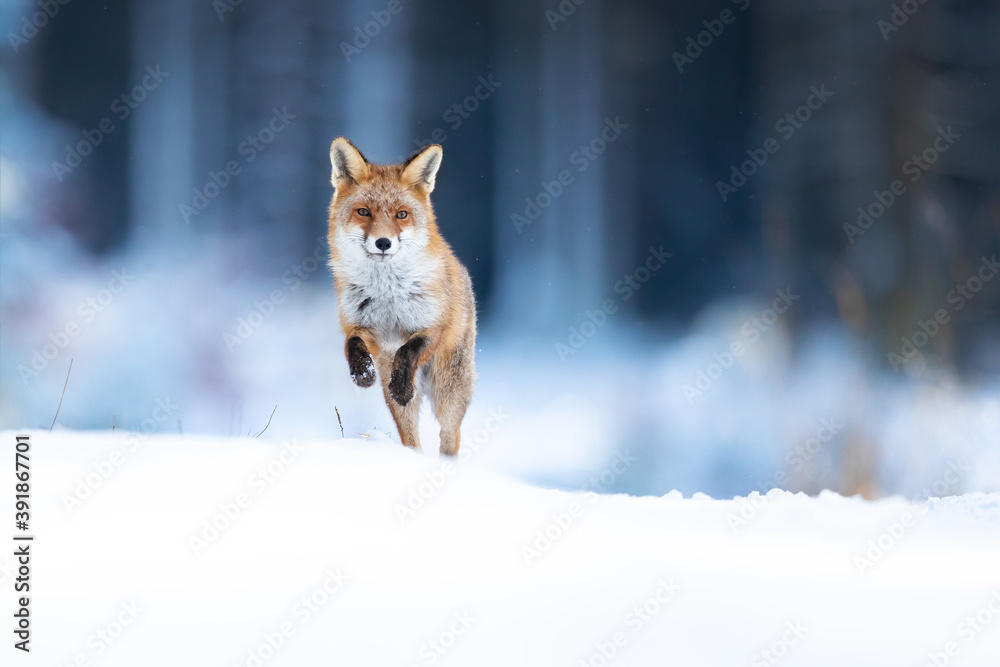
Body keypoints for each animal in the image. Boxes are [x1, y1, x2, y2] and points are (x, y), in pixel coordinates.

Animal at [326, 137, 477, 456]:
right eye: (364, 212)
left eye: (402, 214)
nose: (383, 242)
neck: (387, 293)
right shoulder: (363, 328)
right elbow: (352, 345)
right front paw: (362, 373)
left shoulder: (434, 327)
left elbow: (409, 350)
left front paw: (401, 384)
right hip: (397, 397)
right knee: (411, 436)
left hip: (449, 391)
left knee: (450, 433)